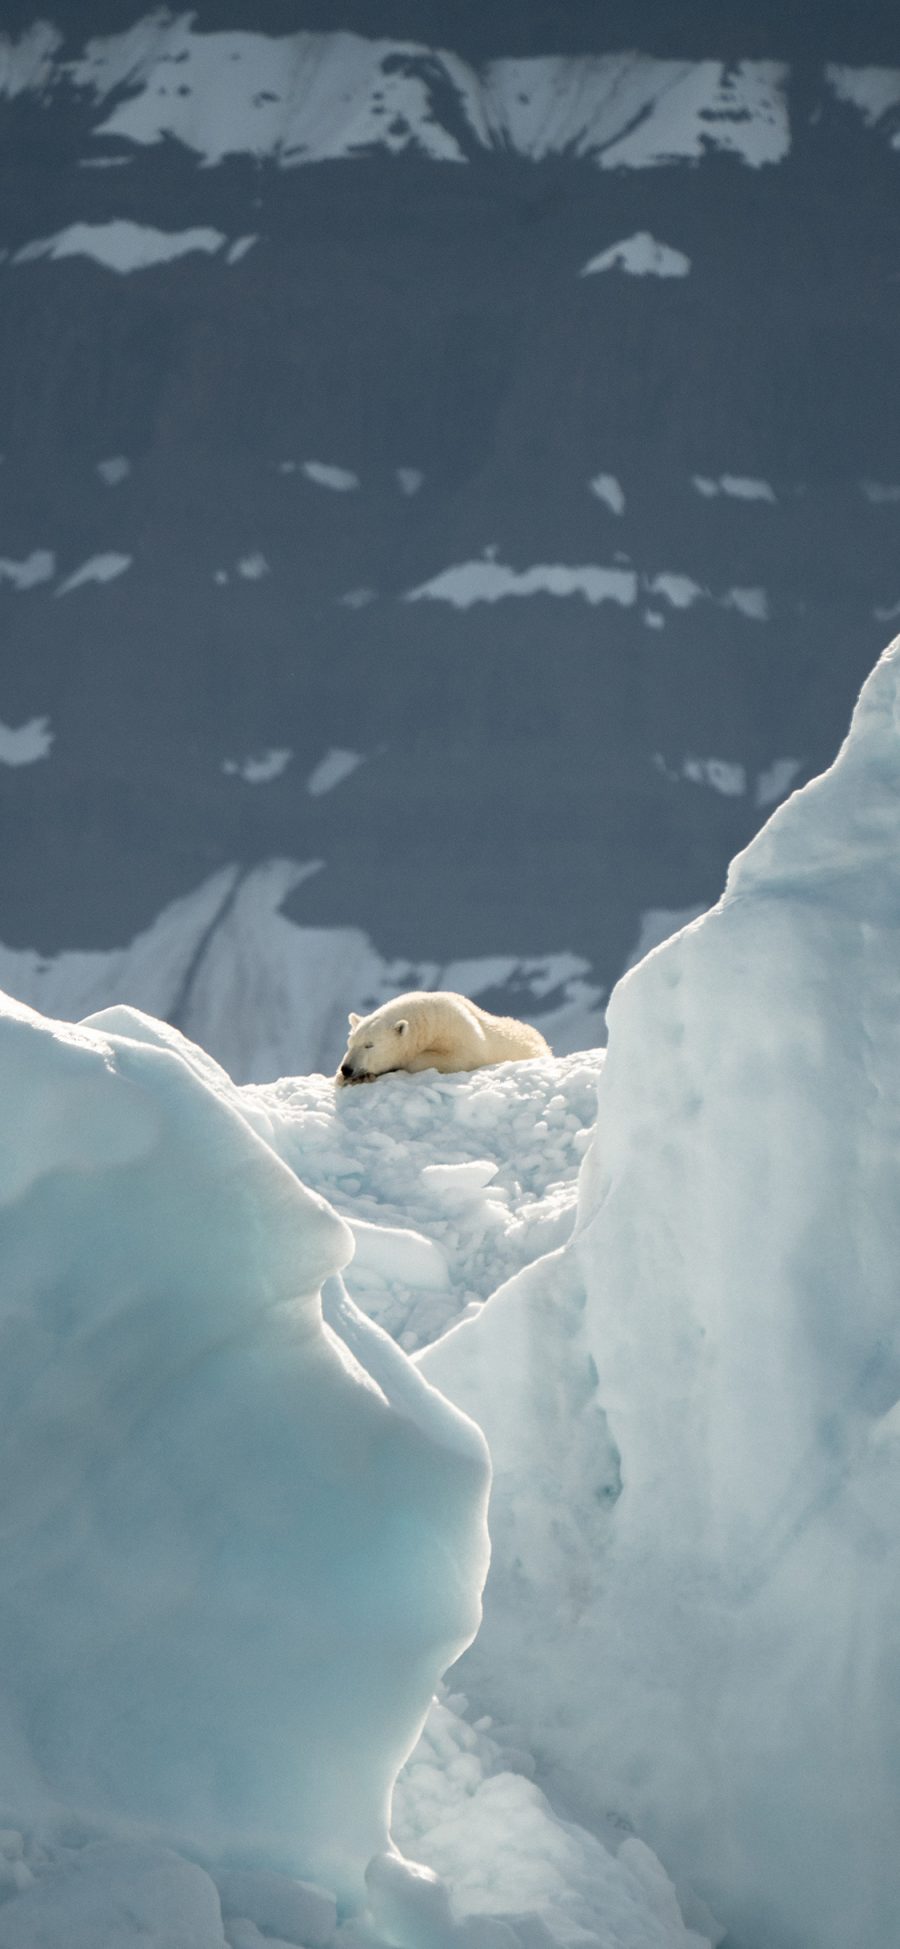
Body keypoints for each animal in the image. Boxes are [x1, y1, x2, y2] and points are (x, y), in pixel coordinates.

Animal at [335, 997, 549, 1091]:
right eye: (350, 1043)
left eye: (369, 1045)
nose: (347, 1069)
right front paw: (343, 1077)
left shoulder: (462, 1034)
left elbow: (457, 1059)